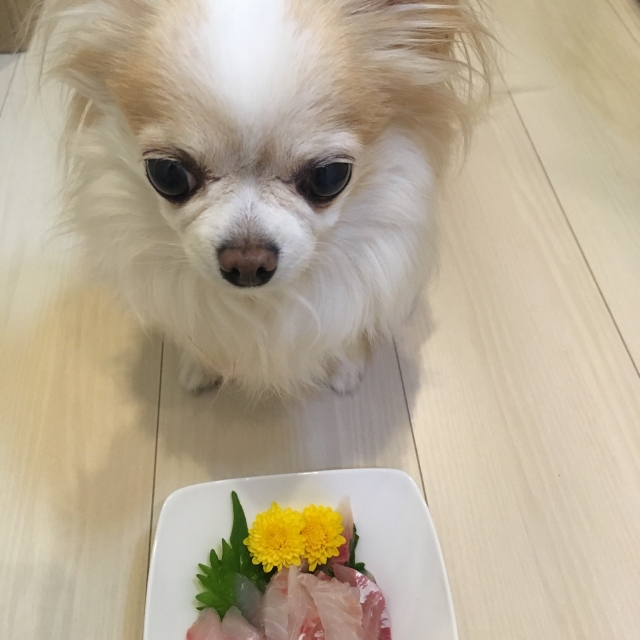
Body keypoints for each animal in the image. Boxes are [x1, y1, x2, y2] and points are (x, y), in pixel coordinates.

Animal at [37, 0, 490, 396]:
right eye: (167, 174)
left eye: (329, 177)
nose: (247, 261)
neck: (261, 309)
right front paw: (199, 366)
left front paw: (345, 370)